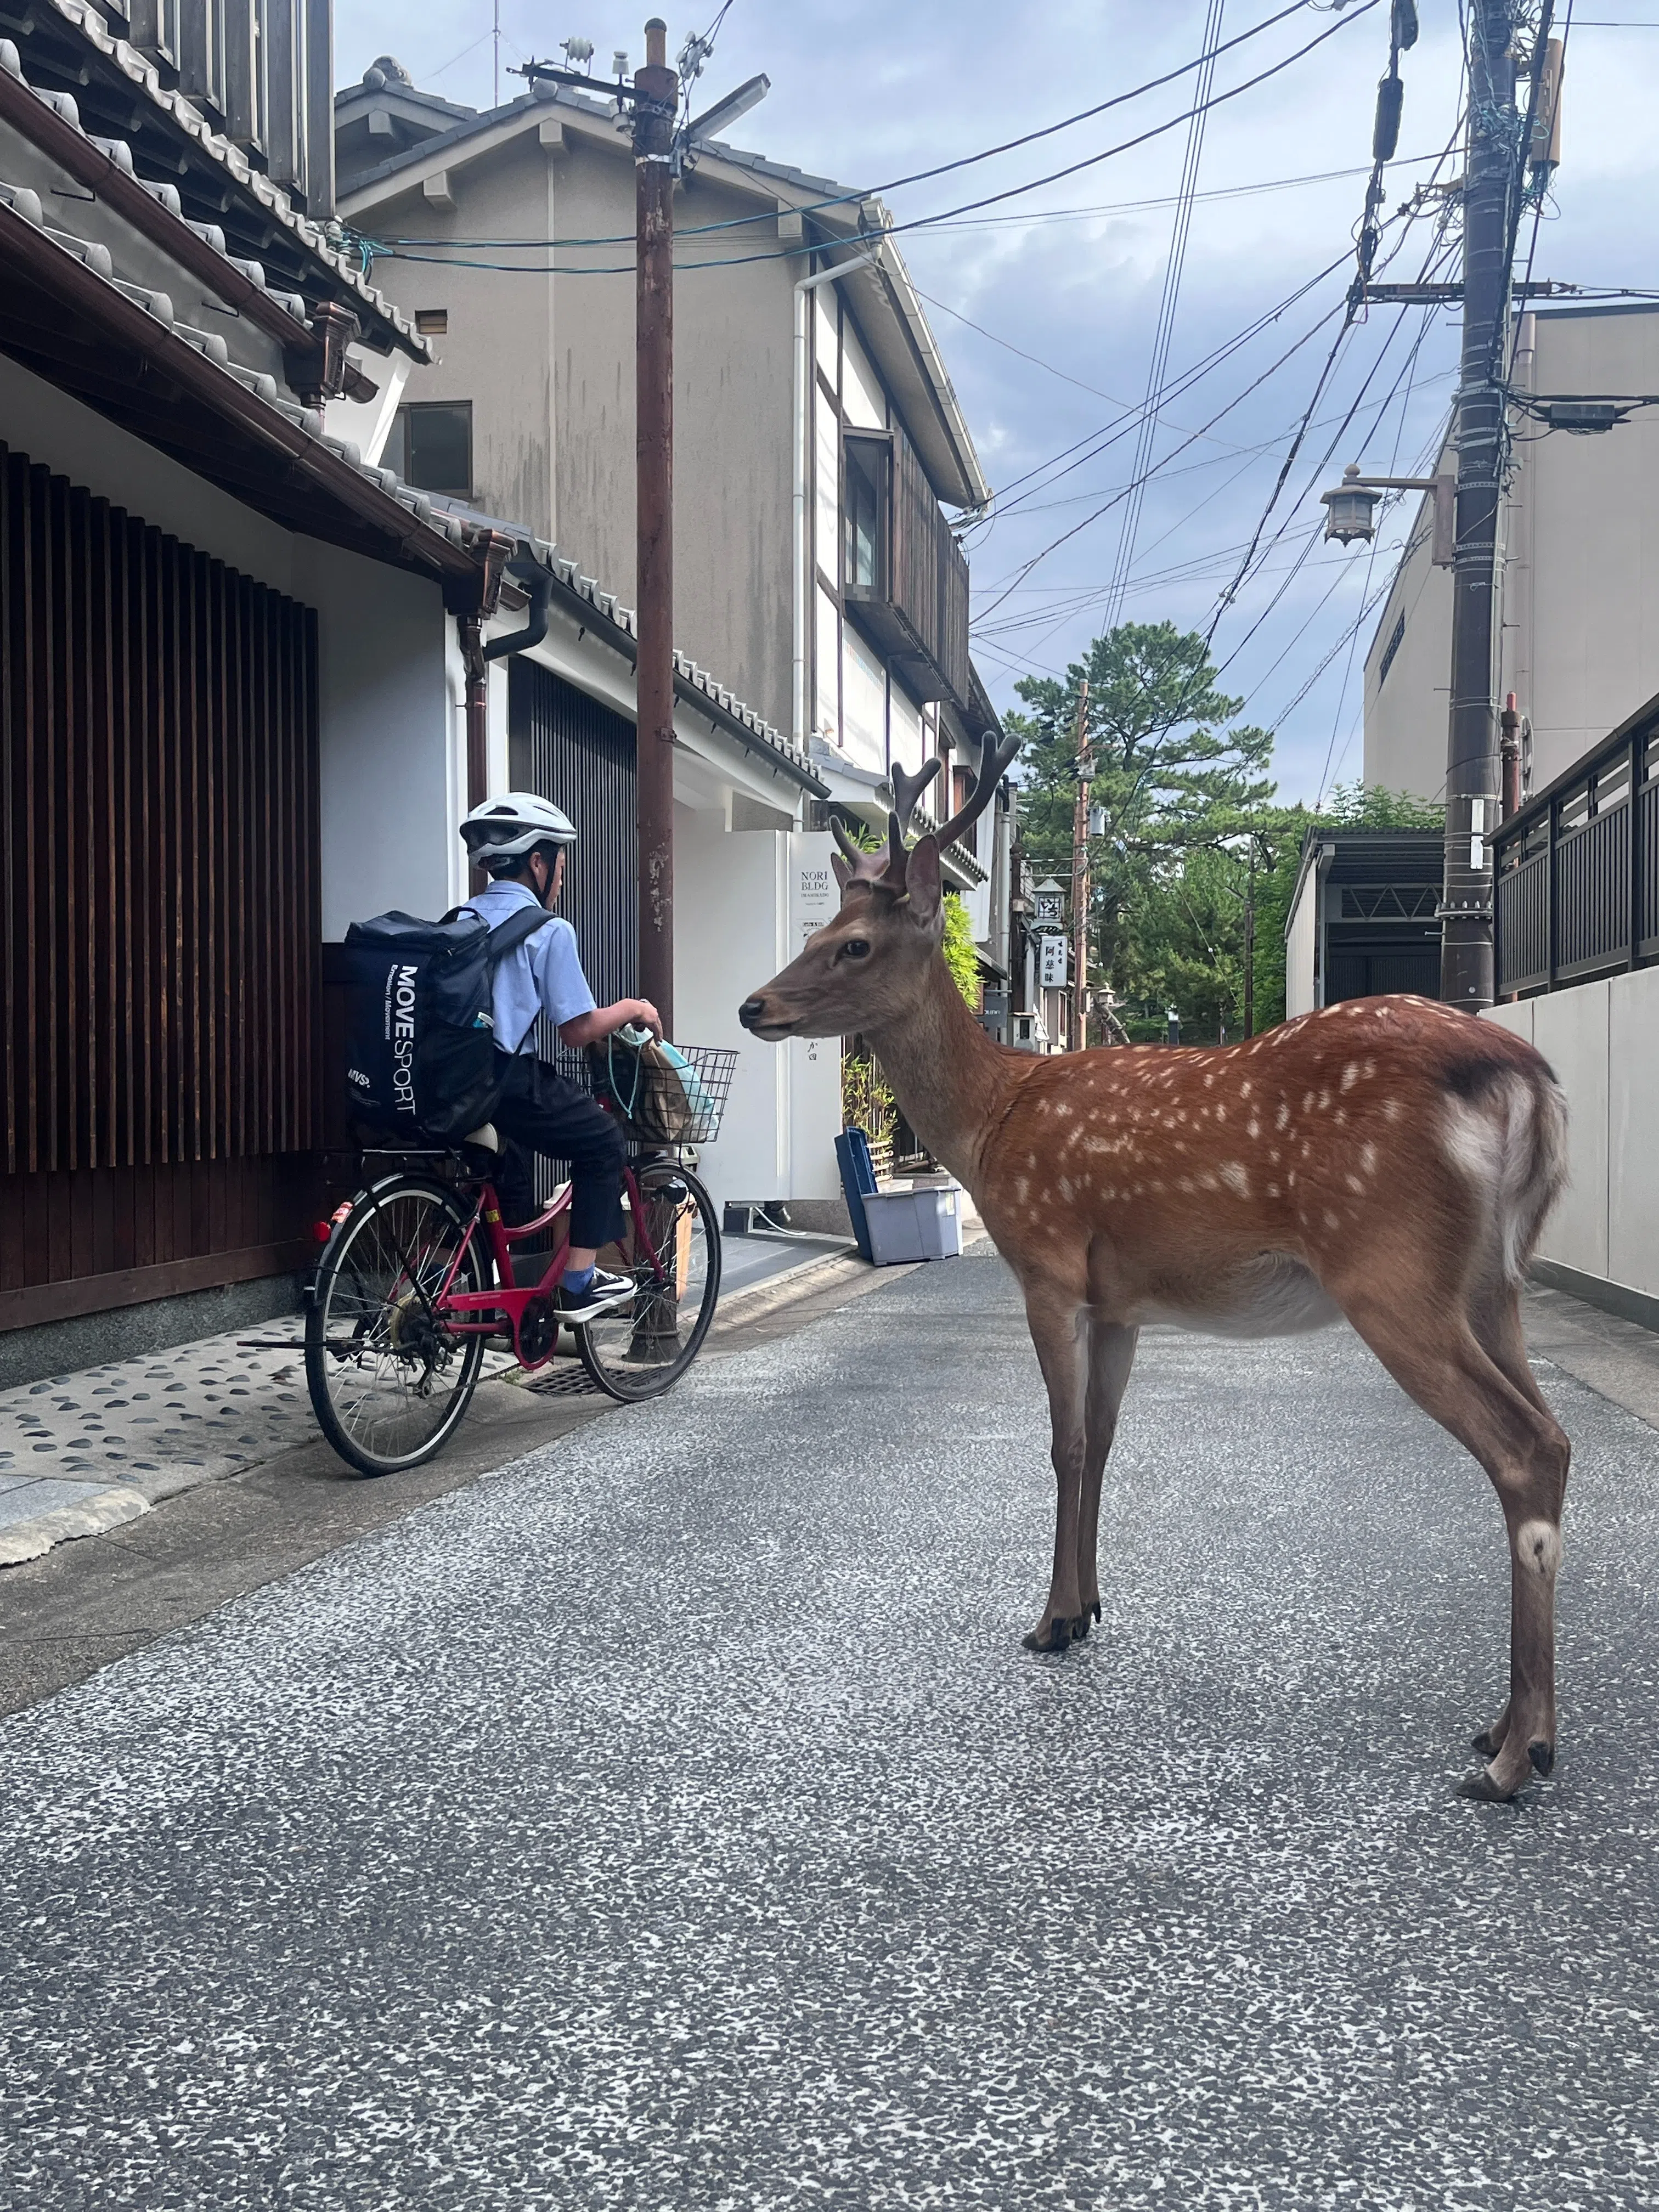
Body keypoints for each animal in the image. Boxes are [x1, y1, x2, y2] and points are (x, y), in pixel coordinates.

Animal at [738, 731, 1572, 1803]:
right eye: (826, 926)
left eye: (852, 944)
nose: (755, 1005)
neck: (991, 1123)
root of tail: (1528, 1082)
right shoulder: (1123, 1301)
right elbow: (1100, 1442)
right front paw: (1089, 1605)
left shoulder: (1047, 1261)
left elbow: (1058, 1443)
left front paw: (1048, 1620)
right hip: (1494, 1280)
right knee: (1552, 1438)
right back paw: (1505, 1729)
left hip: (1392, 1270)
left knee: (1522, 1446)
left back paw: (1516, 1755)